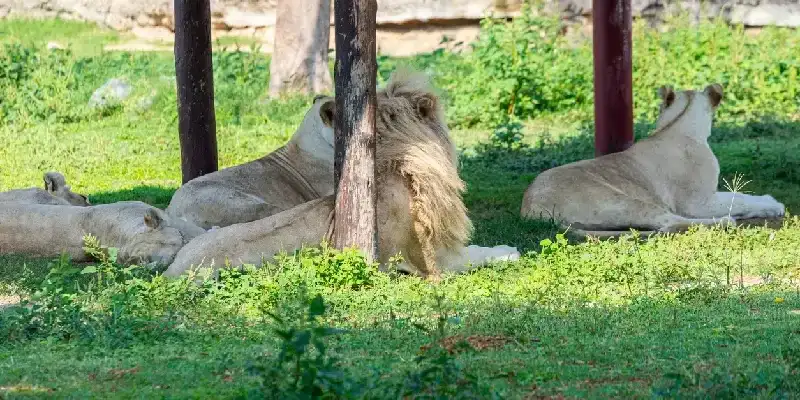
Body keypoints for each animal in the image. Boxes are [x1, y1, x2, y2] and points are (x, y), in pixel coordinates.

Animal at [520, 83, 785, 238]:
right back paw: (725, 222)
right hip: (626, 202)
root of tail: (530, 209)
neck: (677, 124)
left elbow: (739, 196)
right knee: (670, 224)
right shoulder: (696, 202)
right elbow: (738, 200)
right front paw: (774, 205)